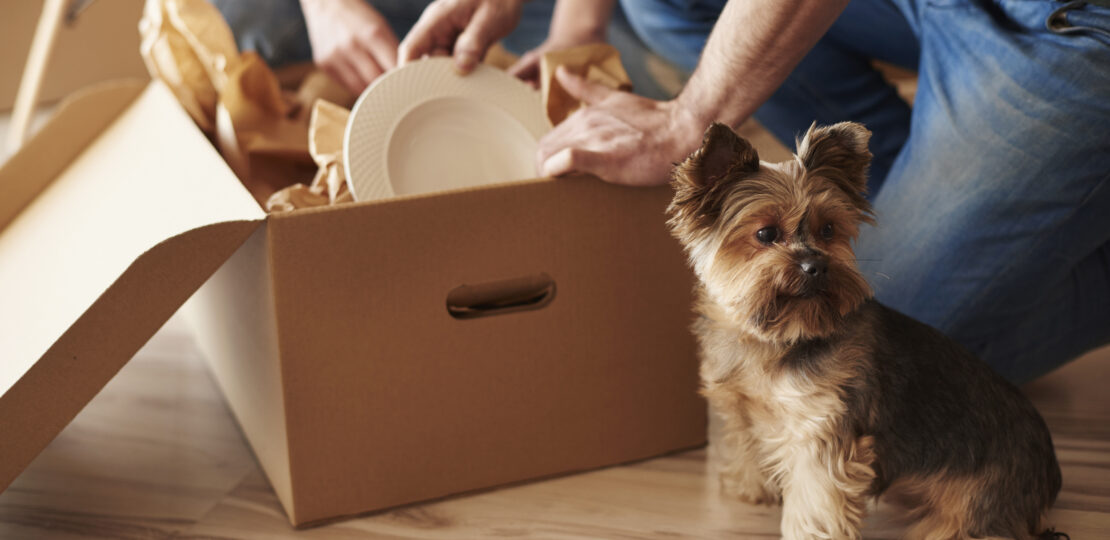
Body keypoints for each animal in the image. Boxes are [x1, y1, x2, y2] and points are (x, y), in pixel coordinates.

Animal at [661, 123, 1061, 540]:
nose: (817, 266)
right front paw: (750, 487)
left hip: (975, 505)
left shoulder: (821, 428)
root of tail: (1049, 471)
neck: (778, 336)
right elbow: (748, 443)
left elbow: (815, 500)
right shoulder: (745, 408)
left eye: (828, 230)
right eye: (767, 233)